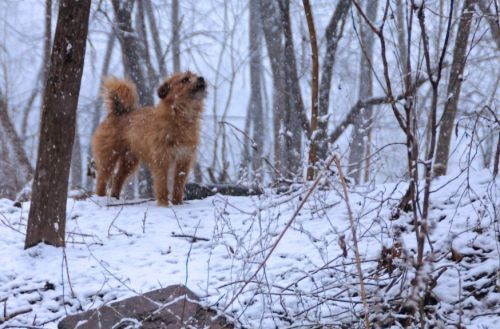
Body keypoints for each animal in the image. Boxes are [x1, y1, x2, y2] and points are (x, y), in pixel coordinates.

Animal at [92, 72, 207, 205]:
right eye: (185, 79)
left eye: (195, 75)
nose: (201, 78)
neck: (180, 117)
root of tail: (118, 112)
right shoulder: (162, 159)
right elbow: (162, 184)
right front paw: (163, 204)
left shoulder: (184, 159)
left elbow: (179, 184)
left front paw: (177, 203)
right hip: (109, 157)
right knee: (102, 179)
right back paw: (100, 198)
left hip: (129, 161)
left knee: (118, 178)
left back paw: (115, 199)